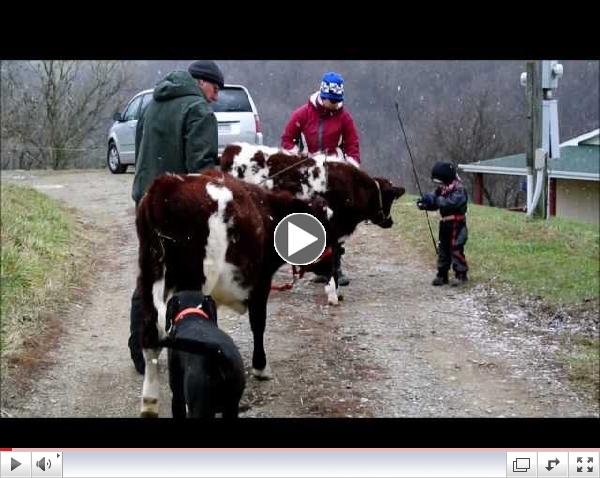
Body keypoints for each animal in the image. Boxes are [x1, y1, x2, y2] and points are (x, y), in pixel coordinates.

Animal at [135, 170, 332, 416]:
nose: (333, 265)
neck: (267, 212)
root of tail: (165, 185)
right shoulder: (261, 283)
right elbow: (258, 323)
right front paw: (261, 367)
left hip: (148, 280)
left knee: (149, 336)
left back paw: (149, 401)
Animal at [219, 142, 404, 304]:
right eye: (390, 198)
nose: (390, 222)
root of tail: (230, 150)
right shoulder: (331, 231)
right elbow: (332, 262)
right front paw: (332, 294)